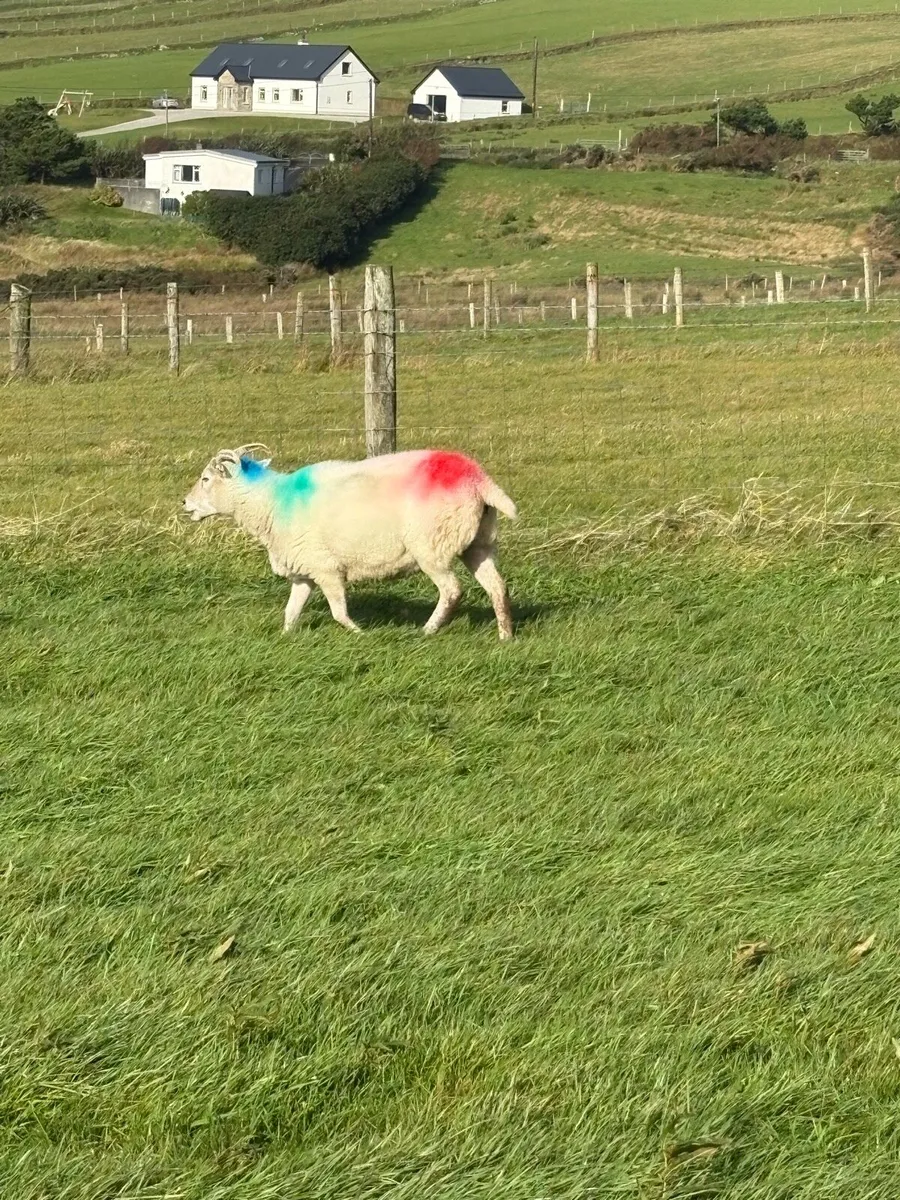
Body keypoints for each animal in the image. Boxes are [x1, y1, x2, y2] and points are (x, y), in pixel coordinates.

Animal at [183, 446, 518, 639]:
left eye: (205, 479)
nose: (184, 503)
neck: (271, 504)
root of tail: (478, 479)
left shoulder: (328, 570)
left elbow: (338, 613)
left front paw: (361, 635)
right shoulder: (306, 572)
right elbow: (291, 612)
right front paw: (285, 639)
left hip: (431, 547)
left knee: (452, 591)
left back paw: (428, 630)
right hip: (478, 543)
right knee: (497, 587)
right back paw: (506, 636)